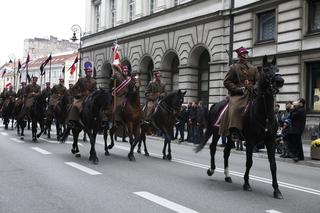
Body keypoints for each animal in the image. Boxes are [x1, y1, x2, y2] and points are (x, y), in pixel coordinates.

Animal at [195, 55, 284, 200]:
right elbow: (249, 162)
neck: (264, 115)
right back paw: (212, 169)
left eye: (277, 69)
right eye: (266, 70)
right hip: (216, 132)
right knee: (213, 148)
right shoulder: (250, 141)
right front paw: (246, 183)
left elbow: (273, 165)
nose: (280, 81)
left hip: (230, 136)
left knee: (226, 152)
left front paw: (277, 190)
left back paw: (227, 176)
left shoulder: (270, 141)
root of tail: (215, 104)